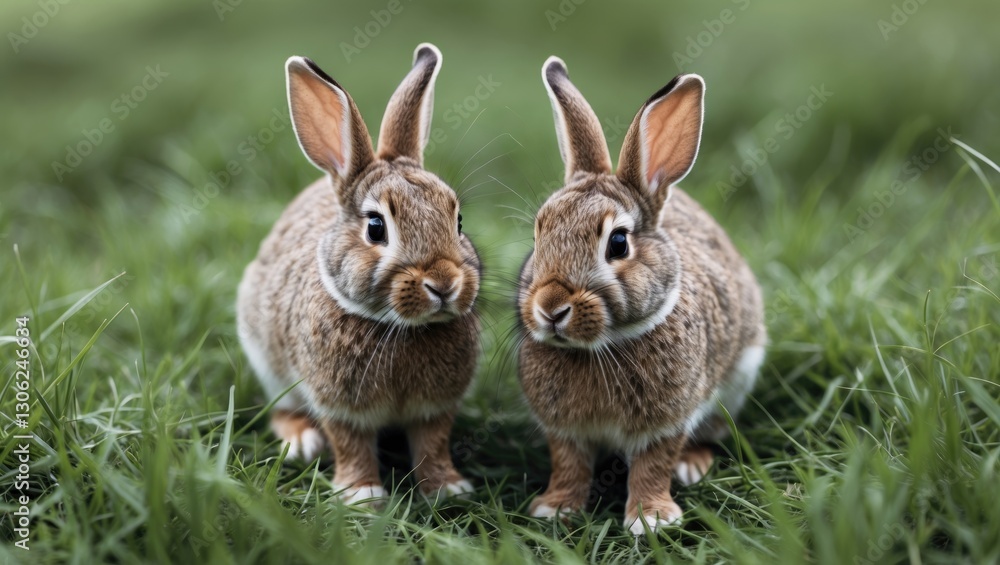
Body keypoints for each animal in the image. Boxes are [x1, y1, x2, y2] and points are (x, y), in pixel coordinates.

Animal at [237, 43, 481, 505]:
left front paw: (447, 488)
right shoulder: (338, 405)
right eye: (376, 228)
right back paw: (302, 442)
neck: (400, 328)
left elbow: (432, 442)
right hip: (269, 360)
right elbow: (349, 442)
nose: (444, 284)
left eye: (458, 221)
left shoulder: (435, 409)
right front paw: (362, 495)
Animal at [517, 56, 766, 535]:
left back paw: (691, 466)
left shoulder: (667, 423)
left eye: (618, 244)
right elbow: (569, 463)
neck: (599, 347)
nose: (551, 308)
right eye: (539, 234)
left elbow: (654, 464)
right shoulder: (563, 429)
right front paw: (555, 507)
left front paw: (651, 519)